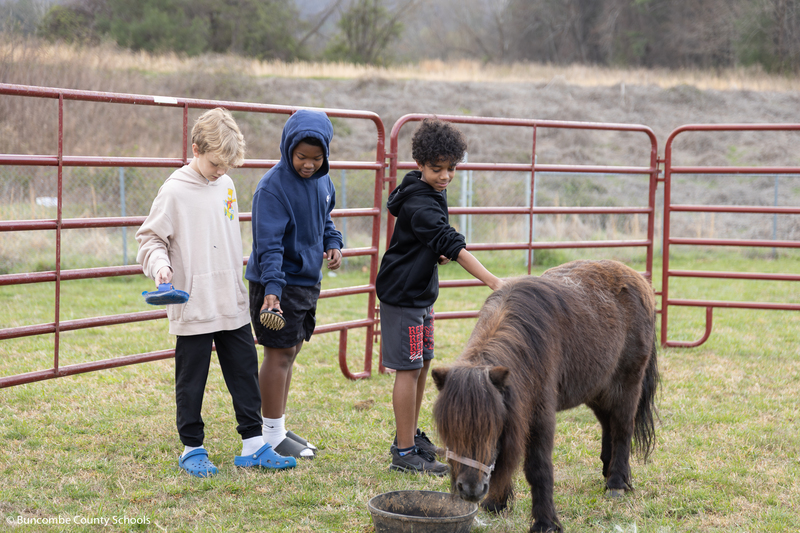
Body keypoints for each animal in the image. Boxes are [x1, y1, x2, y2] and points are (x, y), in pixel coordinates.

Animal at [431, 259, 659, 533]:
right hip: (597, 387)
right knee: (608, 424)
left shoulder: (539, 417)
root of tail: (638, 278)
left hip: (627, 383)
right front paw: (496, 503)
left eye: (491, 428)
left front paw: (545, 522)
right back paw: (607, 469)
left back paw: (616, 482)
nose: (471, 490)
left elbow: (538, 468)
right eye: (448, 430)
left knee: (623, 427)